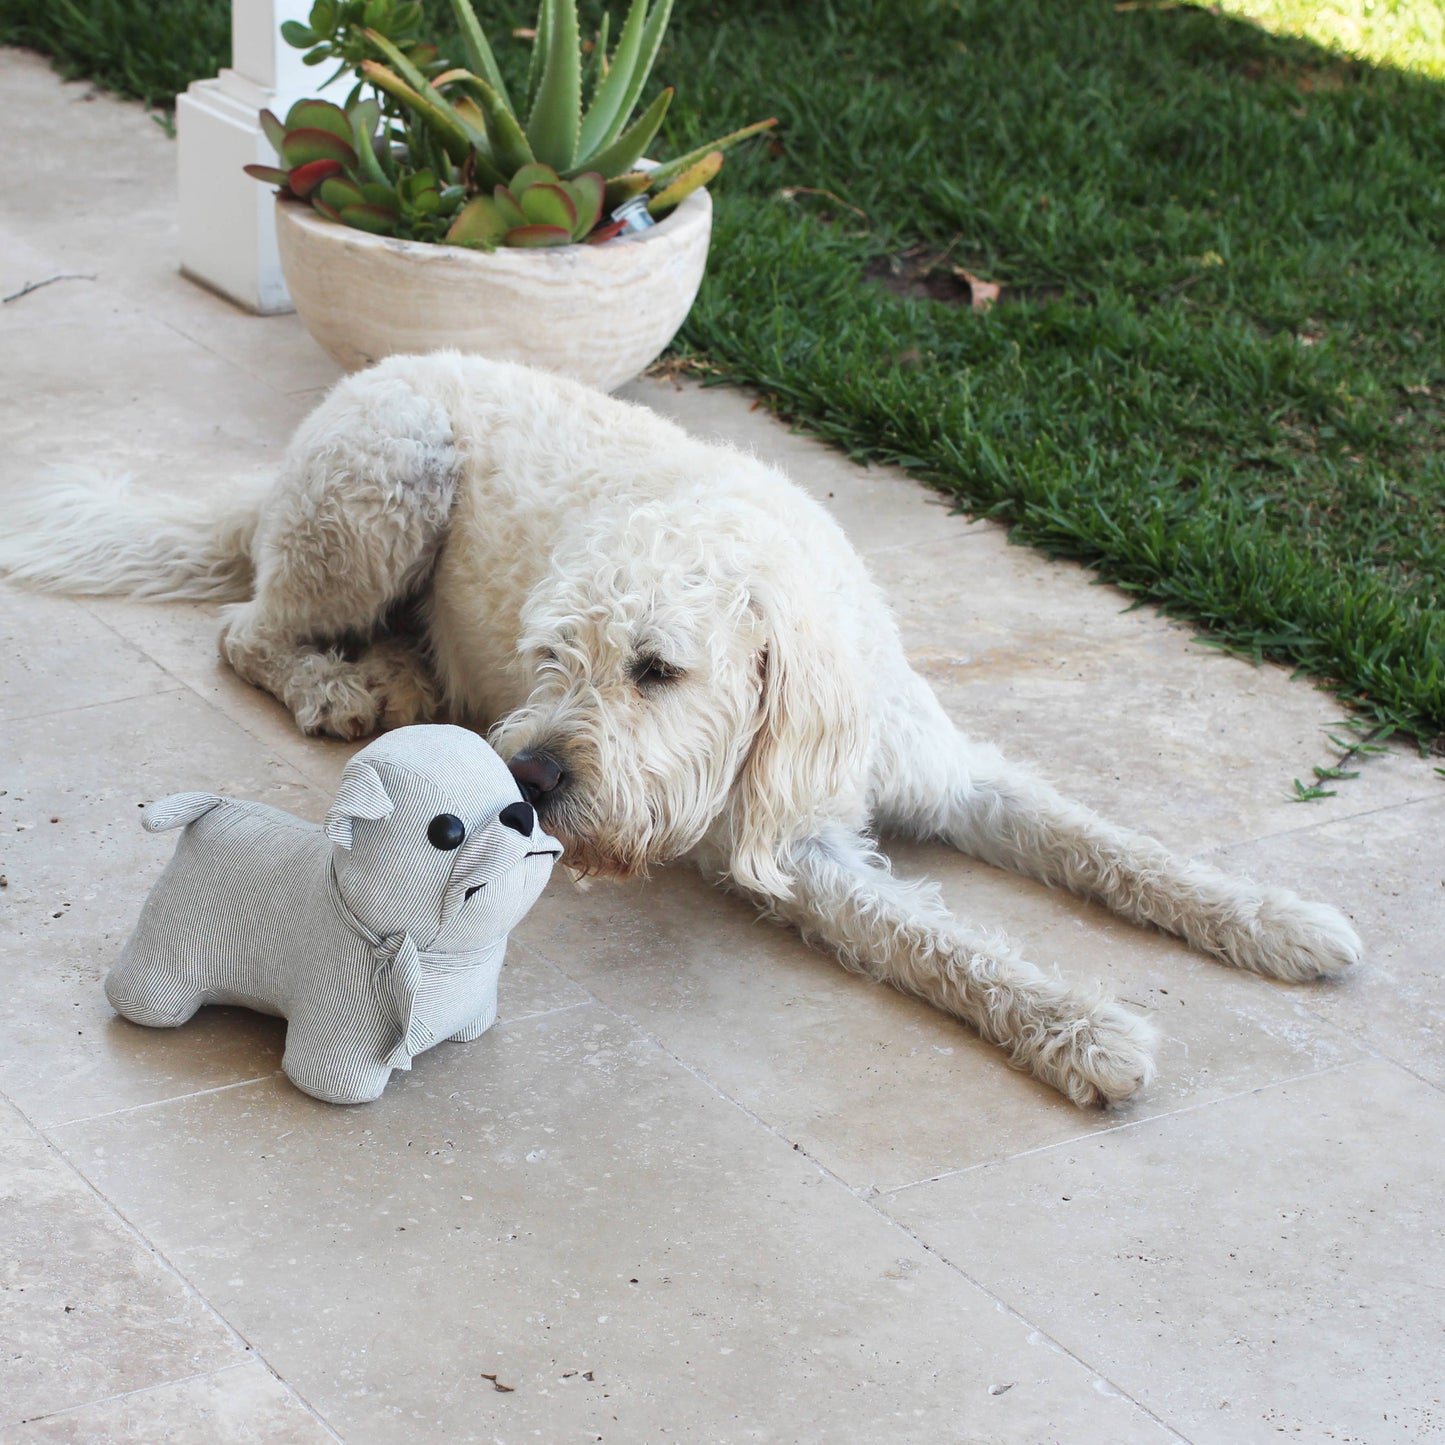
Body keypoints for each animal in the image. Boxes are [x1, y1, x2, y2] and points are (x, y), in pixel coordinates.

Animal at [0, 349, 1358, 1103]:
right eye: (551, 654)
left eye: (656, 669)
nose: (530, 776)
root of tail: (313, 426)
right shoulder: (794, 860)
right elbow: (945, 942)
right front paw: (1087, 1028)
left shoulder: (950, 773)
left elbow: (1102, 840)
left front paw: (1273, 920)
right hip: (382, 488)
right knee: (245, 631)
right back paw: (344, 684)